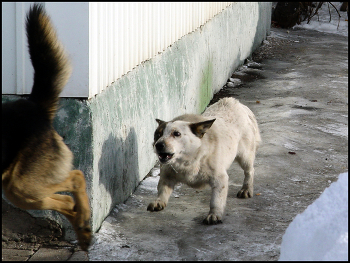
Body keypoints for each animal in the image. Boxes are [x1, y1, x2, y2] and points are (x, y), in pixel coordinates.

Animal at [2, 4, 91, 252]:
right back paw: (83, 231)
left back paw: (83, 224)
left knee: (75, 178)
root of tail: (33, 104)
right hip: (19, 189)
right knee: (66, 200)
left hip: (22, 186)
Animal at [147, 98, 260, 226]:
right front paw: (159, 201)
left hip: (245, 155)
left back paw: (246, 189)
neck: (188, 160)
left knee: (249, 171)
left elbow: (216, 200)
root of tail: (235, 102)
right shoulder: (167, 175)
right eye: (158, 134)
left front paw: (214, 214)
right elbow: (162, 190)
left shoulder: (219, 179)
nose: (158, 145)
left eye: (176, 133)